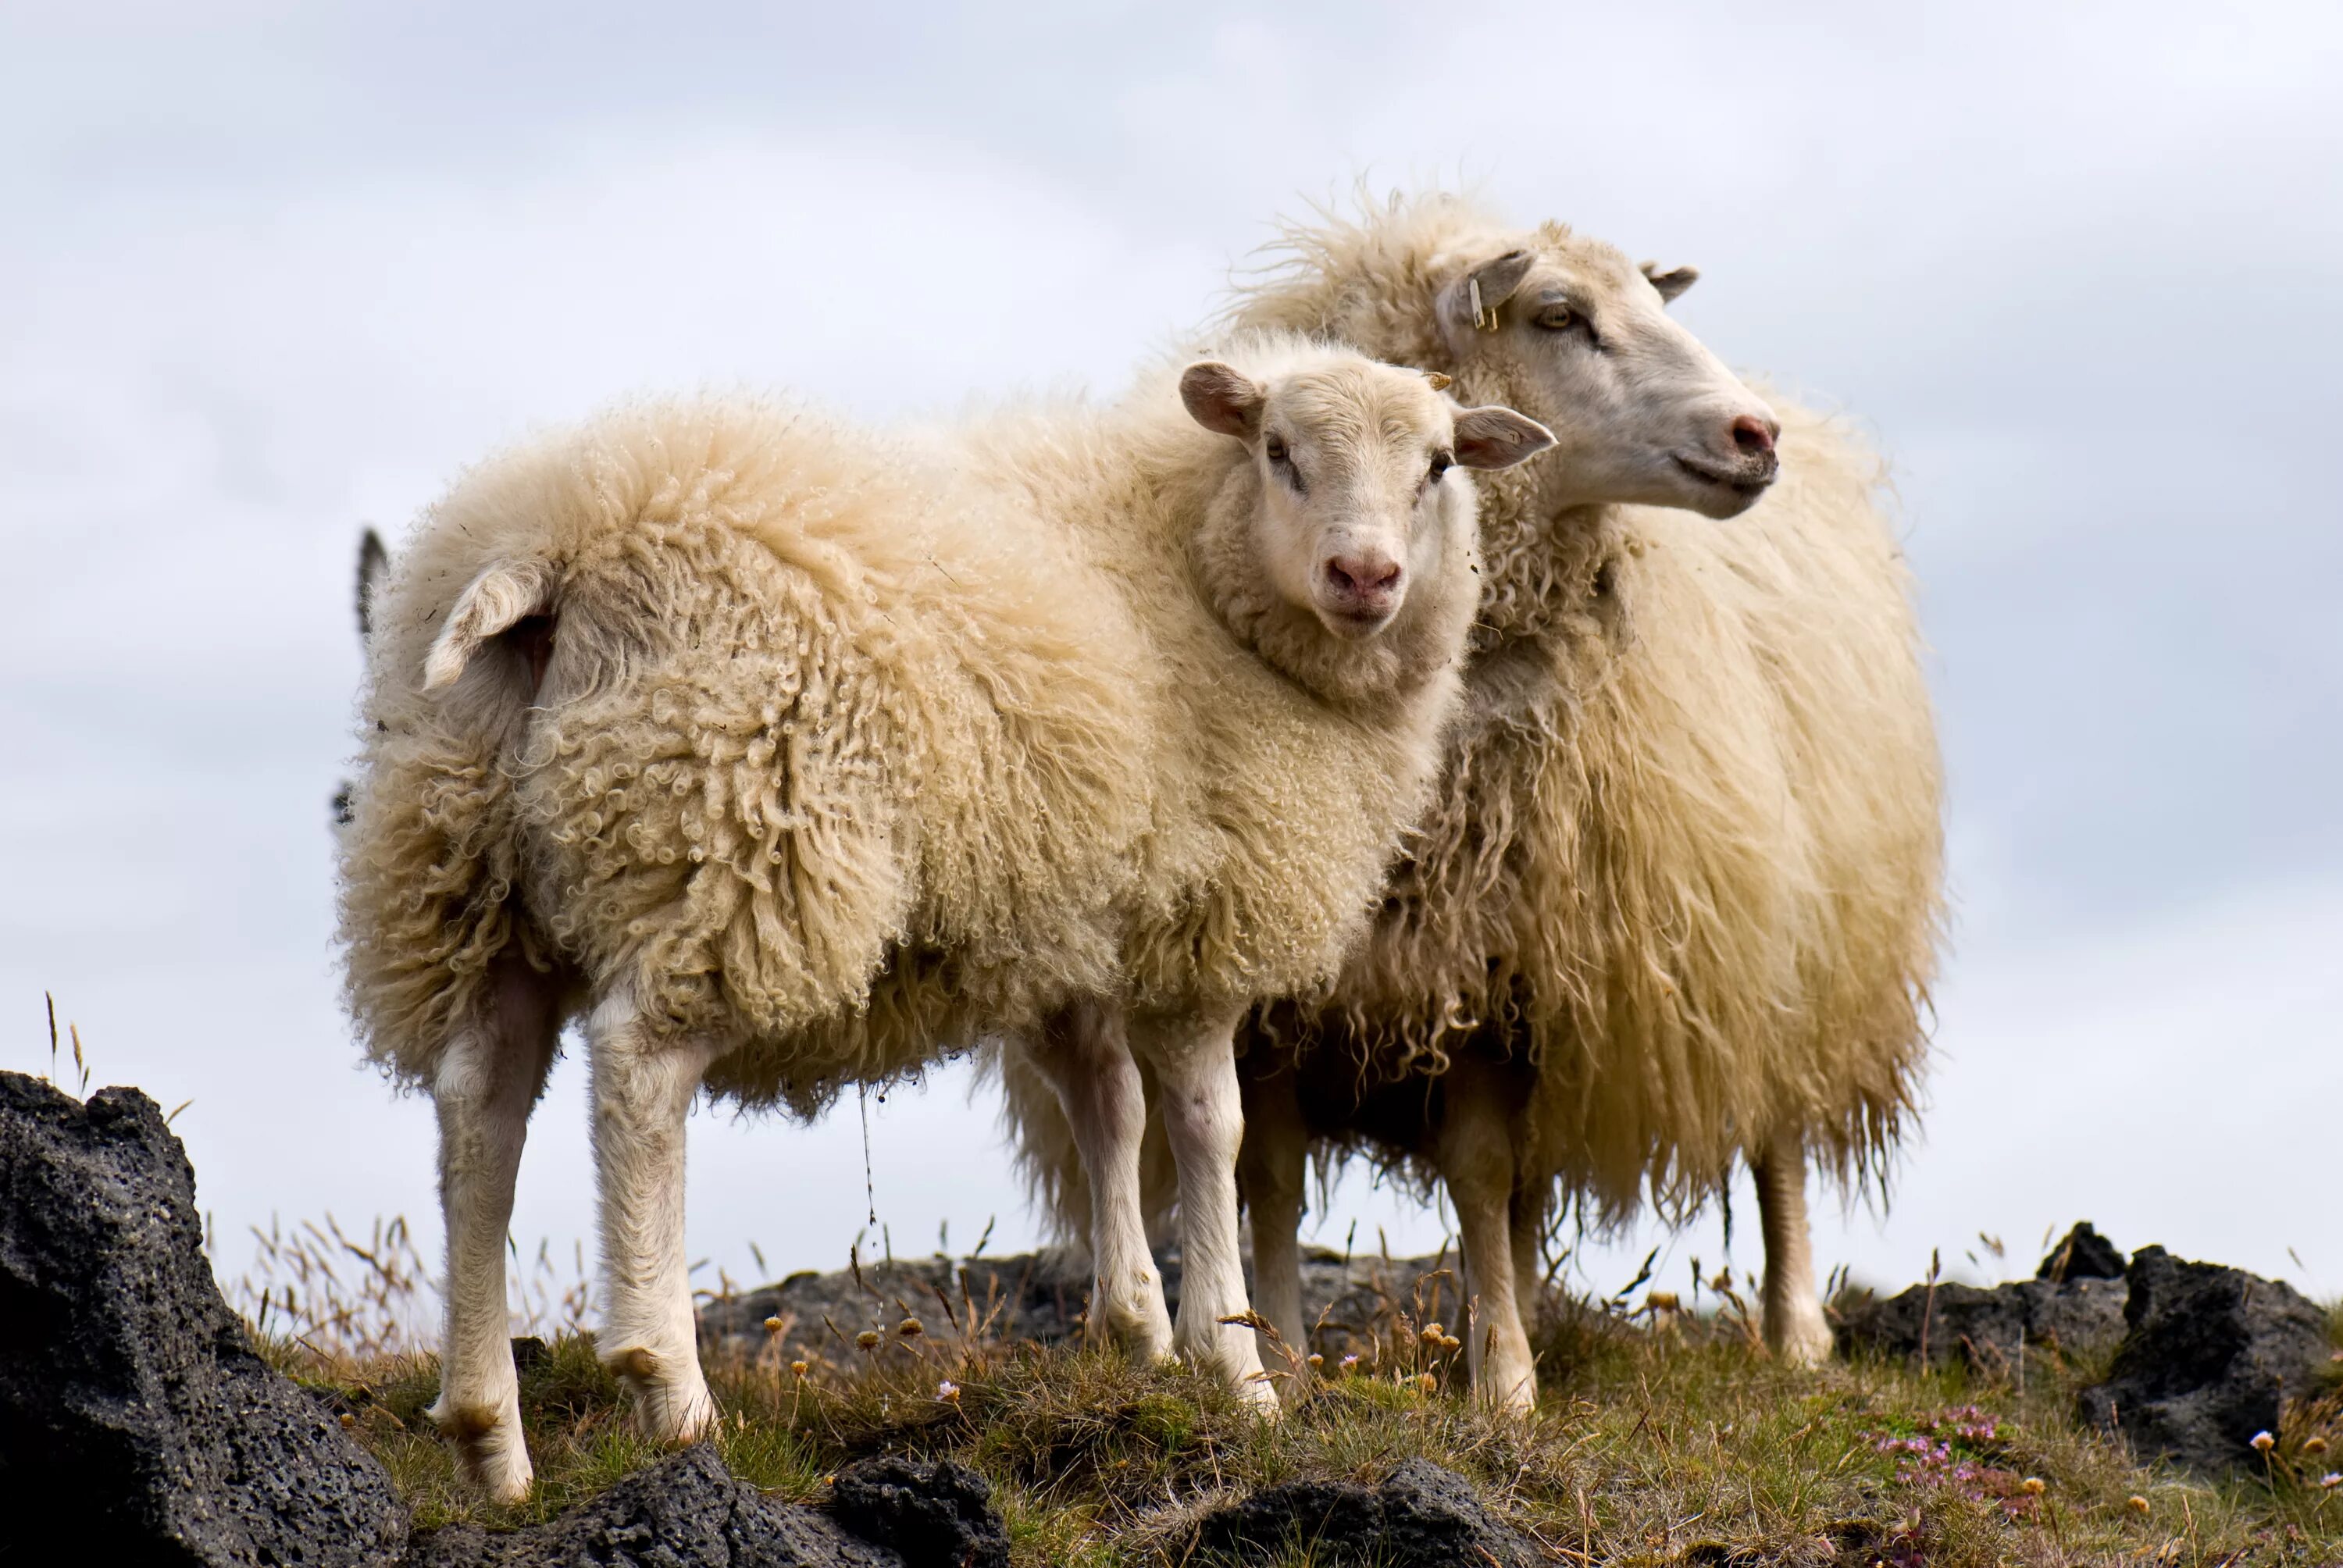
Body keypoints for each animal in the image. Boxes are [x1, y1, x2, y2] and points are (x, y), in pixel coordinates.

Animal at [337, 332, 1556, 1497]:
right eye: (1280, 452)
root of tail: (551, 547)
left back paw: (491, 1438)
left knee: (481, 1103)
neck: (1192, 562)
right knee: (640, 1075)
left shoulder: (1075, 924)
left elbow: (1107, 1108)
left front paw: (1137, 1334)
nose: (1367, 575)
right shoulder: (1204, 924)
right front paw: (1236, 1367)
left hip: (463, 871)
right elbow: (1210, 1128)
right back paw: (670, 1389)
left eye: (1438, 464)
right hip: (728, 833)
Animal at [997, 192, 1944, 1410]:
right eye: (1559, 314)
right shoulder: (1292, 982)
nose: (1756, 434)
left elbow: (1482, 1169)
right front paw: (1290, 1357)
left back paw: (1795, 1336)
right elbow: (1270, 1173)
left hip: (1792, 949)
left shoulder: (1504, 963)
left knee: (1771, 1132)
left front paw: (1505, 1385)